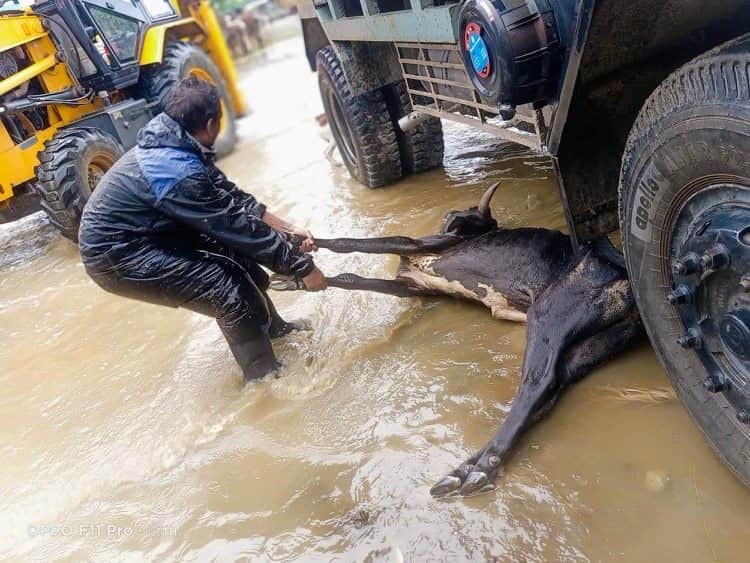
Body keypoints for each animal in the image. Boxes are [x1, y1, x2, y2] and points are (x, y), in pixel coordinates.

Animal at [274, 183, 644, 496]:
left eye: (459, 217)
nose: (453, 224)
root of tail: (623, 277)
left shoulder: (415, 245)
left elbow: (350, 243)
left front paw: (300, 242)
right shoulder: (411, 286)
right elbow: (351, 278)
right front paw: (298, 281)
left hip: (548, 314)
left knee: (538, 382)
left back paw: (483, 465)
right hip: (601, 341)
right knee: (556, 383)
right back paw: (466, 469)